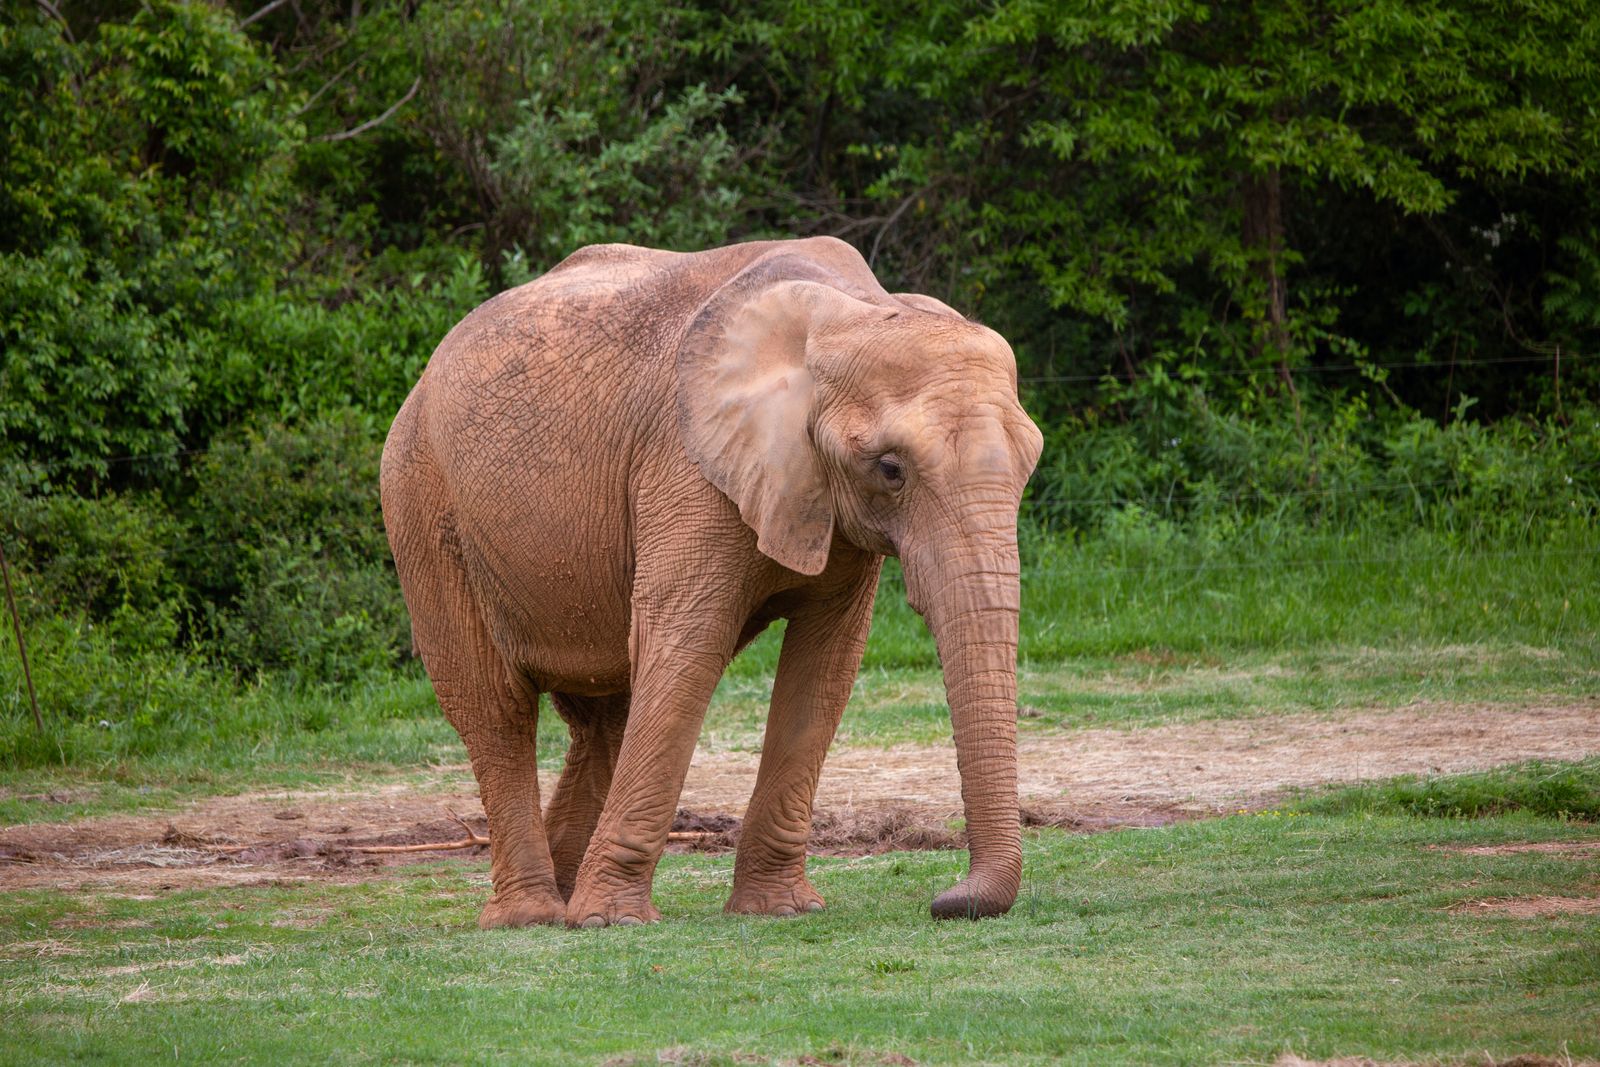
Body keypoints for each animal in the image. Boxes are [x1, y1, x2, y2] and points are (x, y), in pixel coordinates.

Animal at [380, 236, 1042, 928]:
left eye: (1032, 461)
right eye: (890, 469)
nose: (946, 901)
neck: (851, 311)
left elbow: (825, 664)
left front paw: (779, 911)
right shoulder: (687, 465)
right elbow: (688, 646)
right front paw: (614, 923)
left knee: (605, 713)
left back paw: (562, 901)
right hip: (421, 502)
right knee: (497, 706)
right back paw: (533, 916)